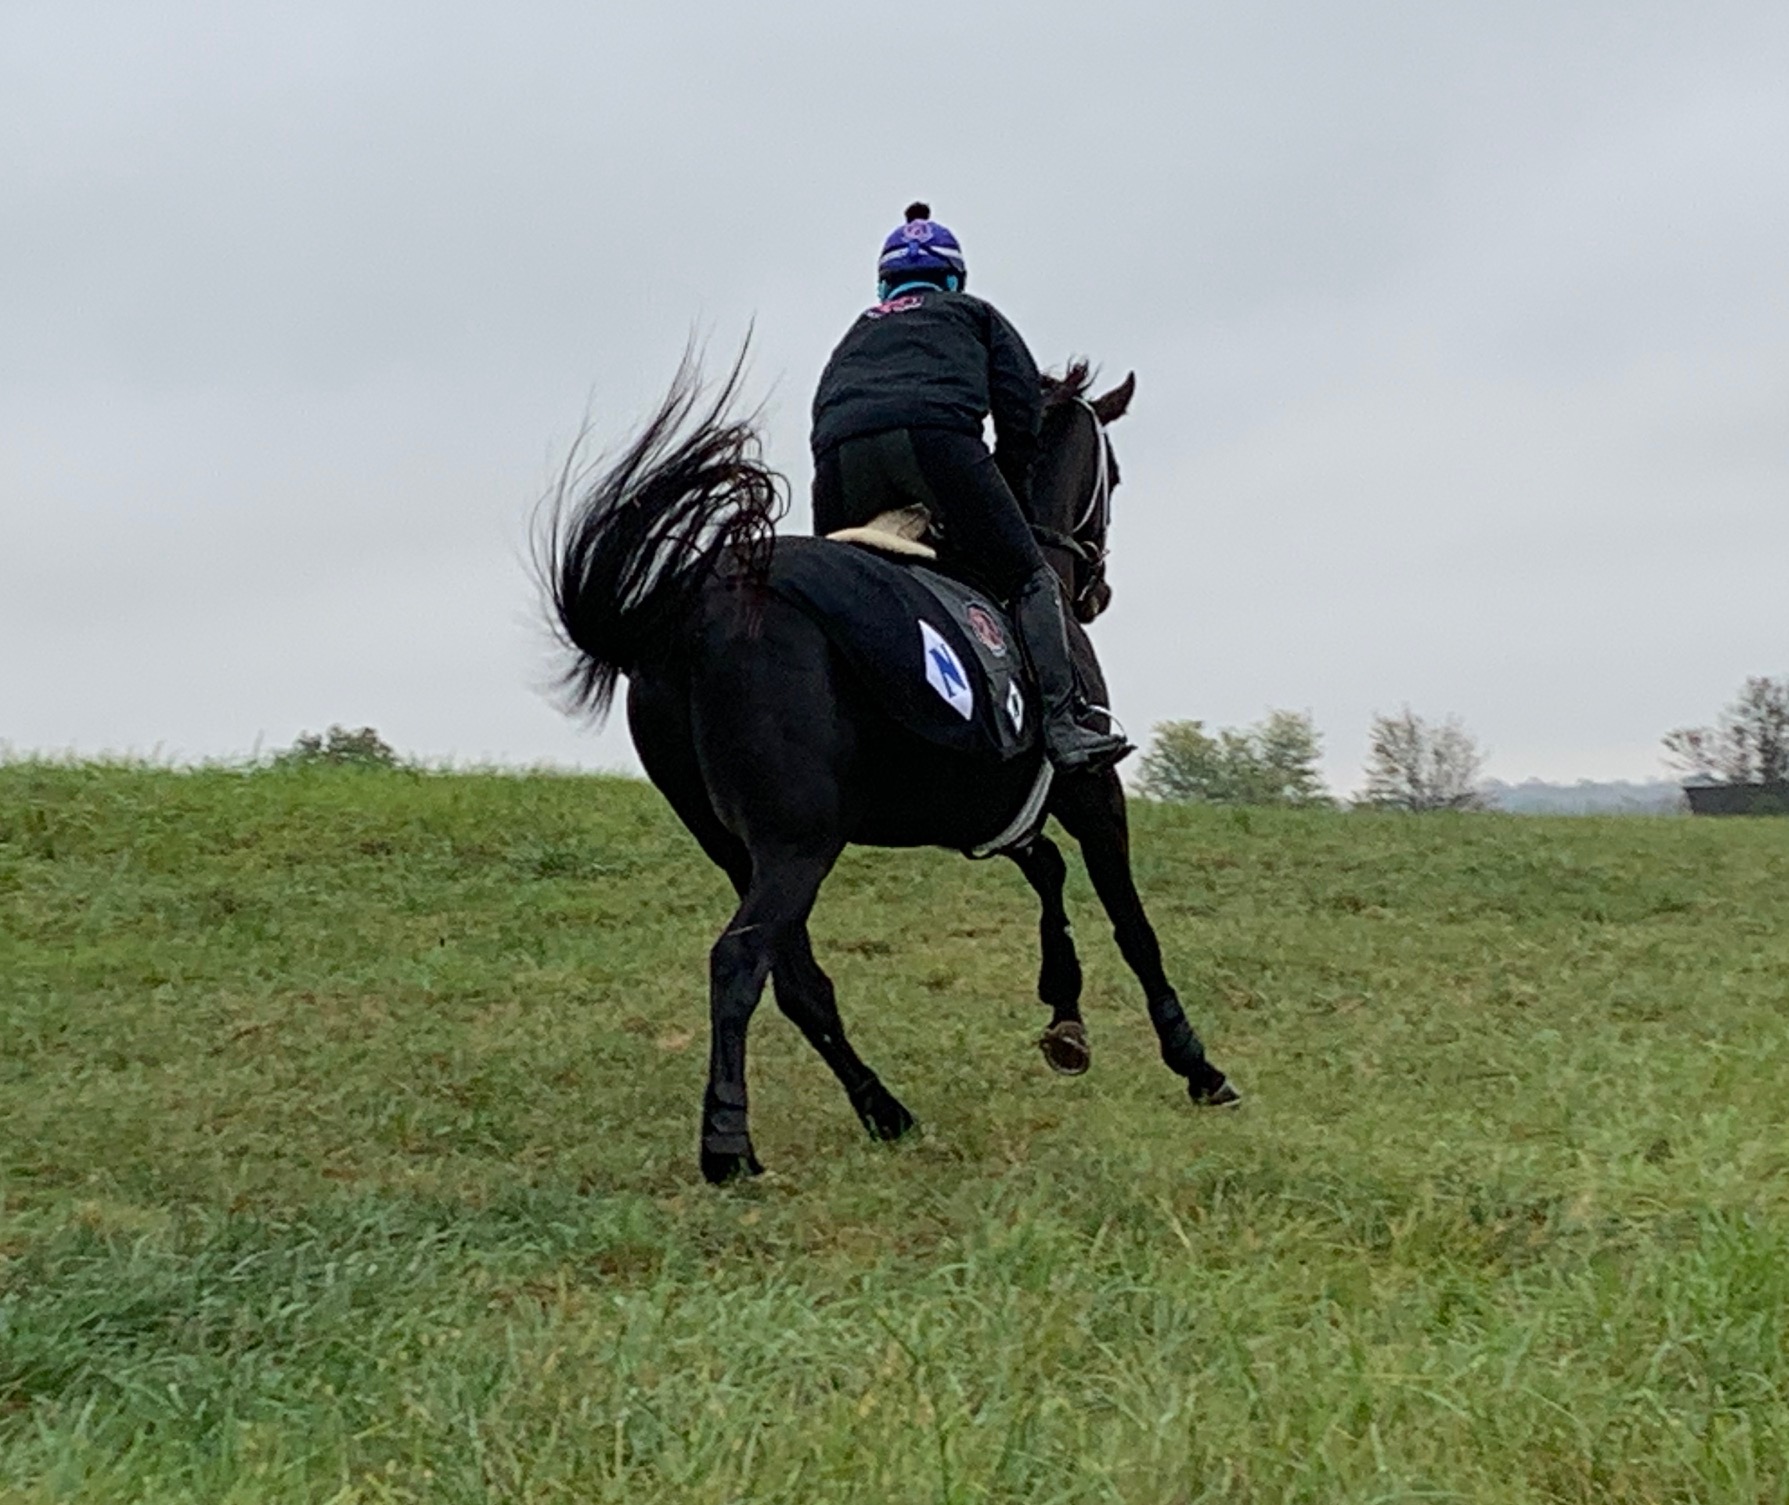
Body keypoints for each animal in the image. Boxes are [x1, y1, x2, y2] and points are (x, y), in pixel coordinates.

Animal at [536, 356, 1237, 1188]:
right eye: (1117, 474)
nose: (1096, 591)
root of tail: (686, 613)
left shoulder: (991, 809)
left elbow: (1049, 874)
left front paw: (1064, 1018)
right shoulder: (1090, 787)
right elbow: (1132, 925)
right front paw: (1194, 1063)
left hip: (737, 848)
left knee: (798, 981)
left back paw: (883, 1109)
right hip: (797, 843)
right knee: (740, 960)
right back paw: (729, 1143)